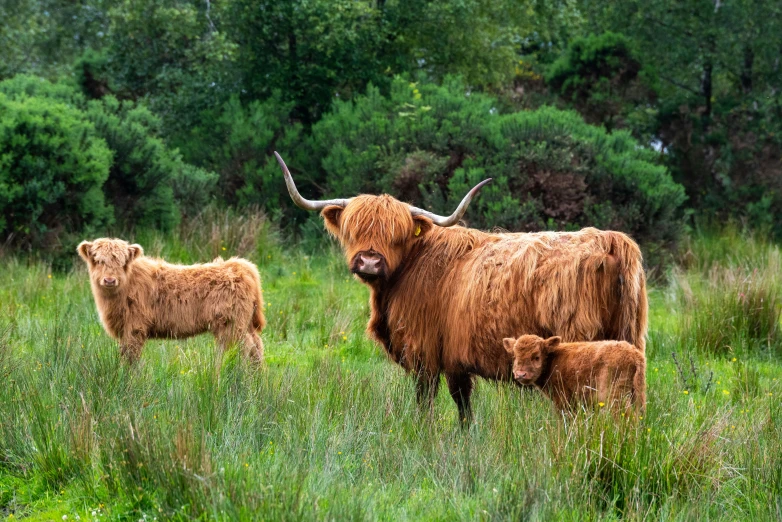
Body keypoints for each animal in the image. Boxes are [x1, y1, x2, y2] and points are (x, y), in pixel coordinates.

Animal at [77, 239, 266, 364]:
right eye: (98, 261)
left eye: (122, 262)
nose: (109, 280)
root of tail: (240, 265)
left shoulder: (134, 328)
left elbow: (131, 357)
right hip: (245, 324)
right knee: (257, 347)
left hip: (232, 325)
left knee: (244, 349)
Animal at [506, 334, 648, 414]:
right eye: (515, 356)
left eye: (536, 357)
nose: (520, 374)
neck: (553, 359)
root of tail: (633, 353)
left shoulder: (562, 400)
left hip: (614, 395)